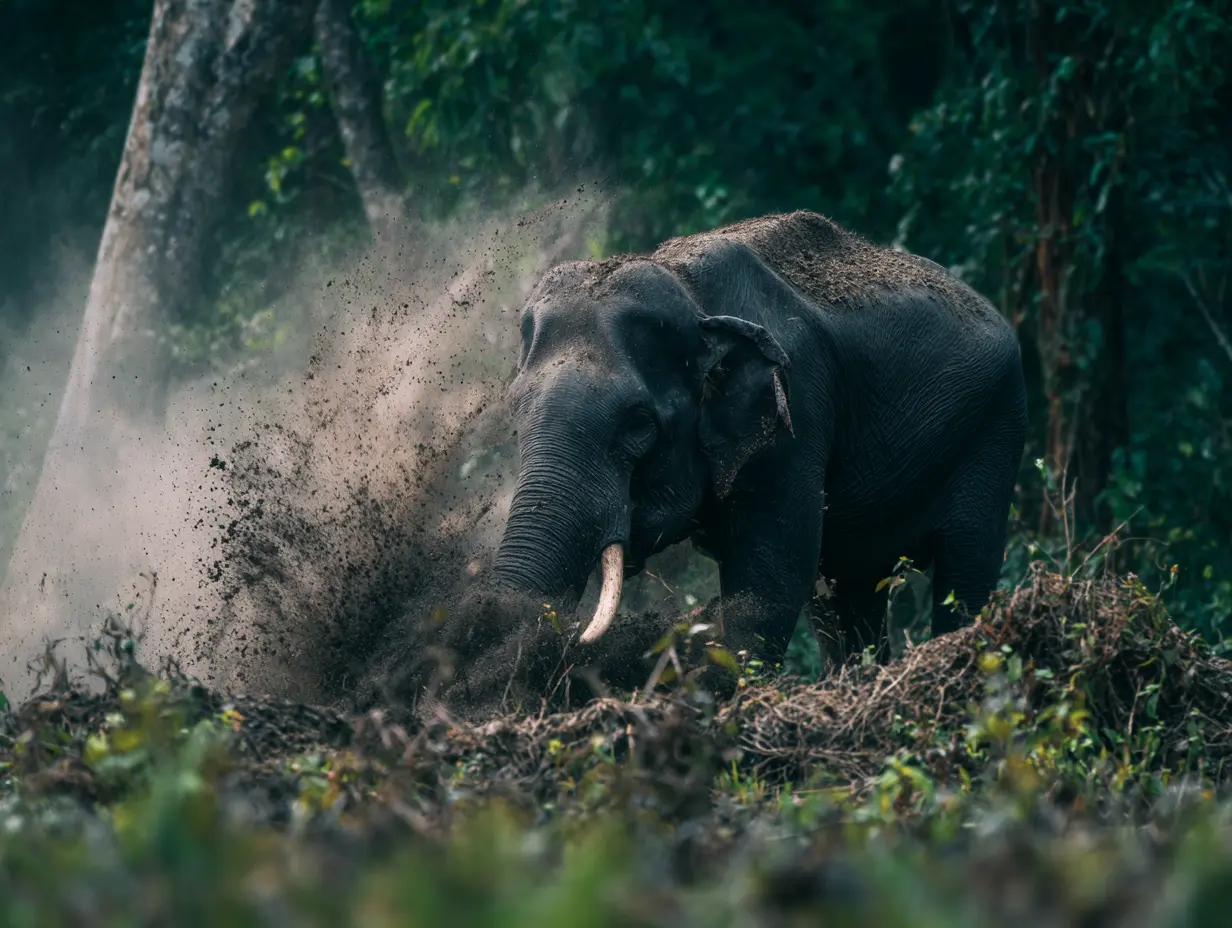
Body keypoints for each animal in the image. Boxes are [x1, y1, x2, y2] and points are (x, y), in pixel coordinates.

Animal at [482, 210, 1027, 688]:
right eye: (516, 411)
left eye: (637, 423)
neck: (689, 291)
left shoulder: (797, 414)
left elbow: (774, 573)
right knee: (848, 593)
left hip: (996, 428)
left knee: (966, 568)